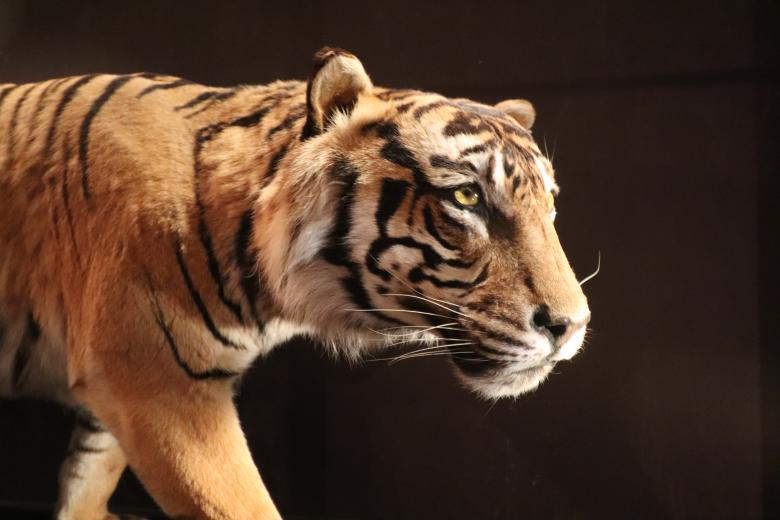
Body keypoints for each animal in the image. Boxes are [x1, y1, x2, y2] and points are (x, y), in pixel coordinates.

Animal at [0, 47, 590, 519]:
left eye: (550, 204)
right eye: (467, 197)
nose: (574, 326)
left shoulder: (117, 382)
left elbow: (88, 475)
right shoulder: (159, 382)